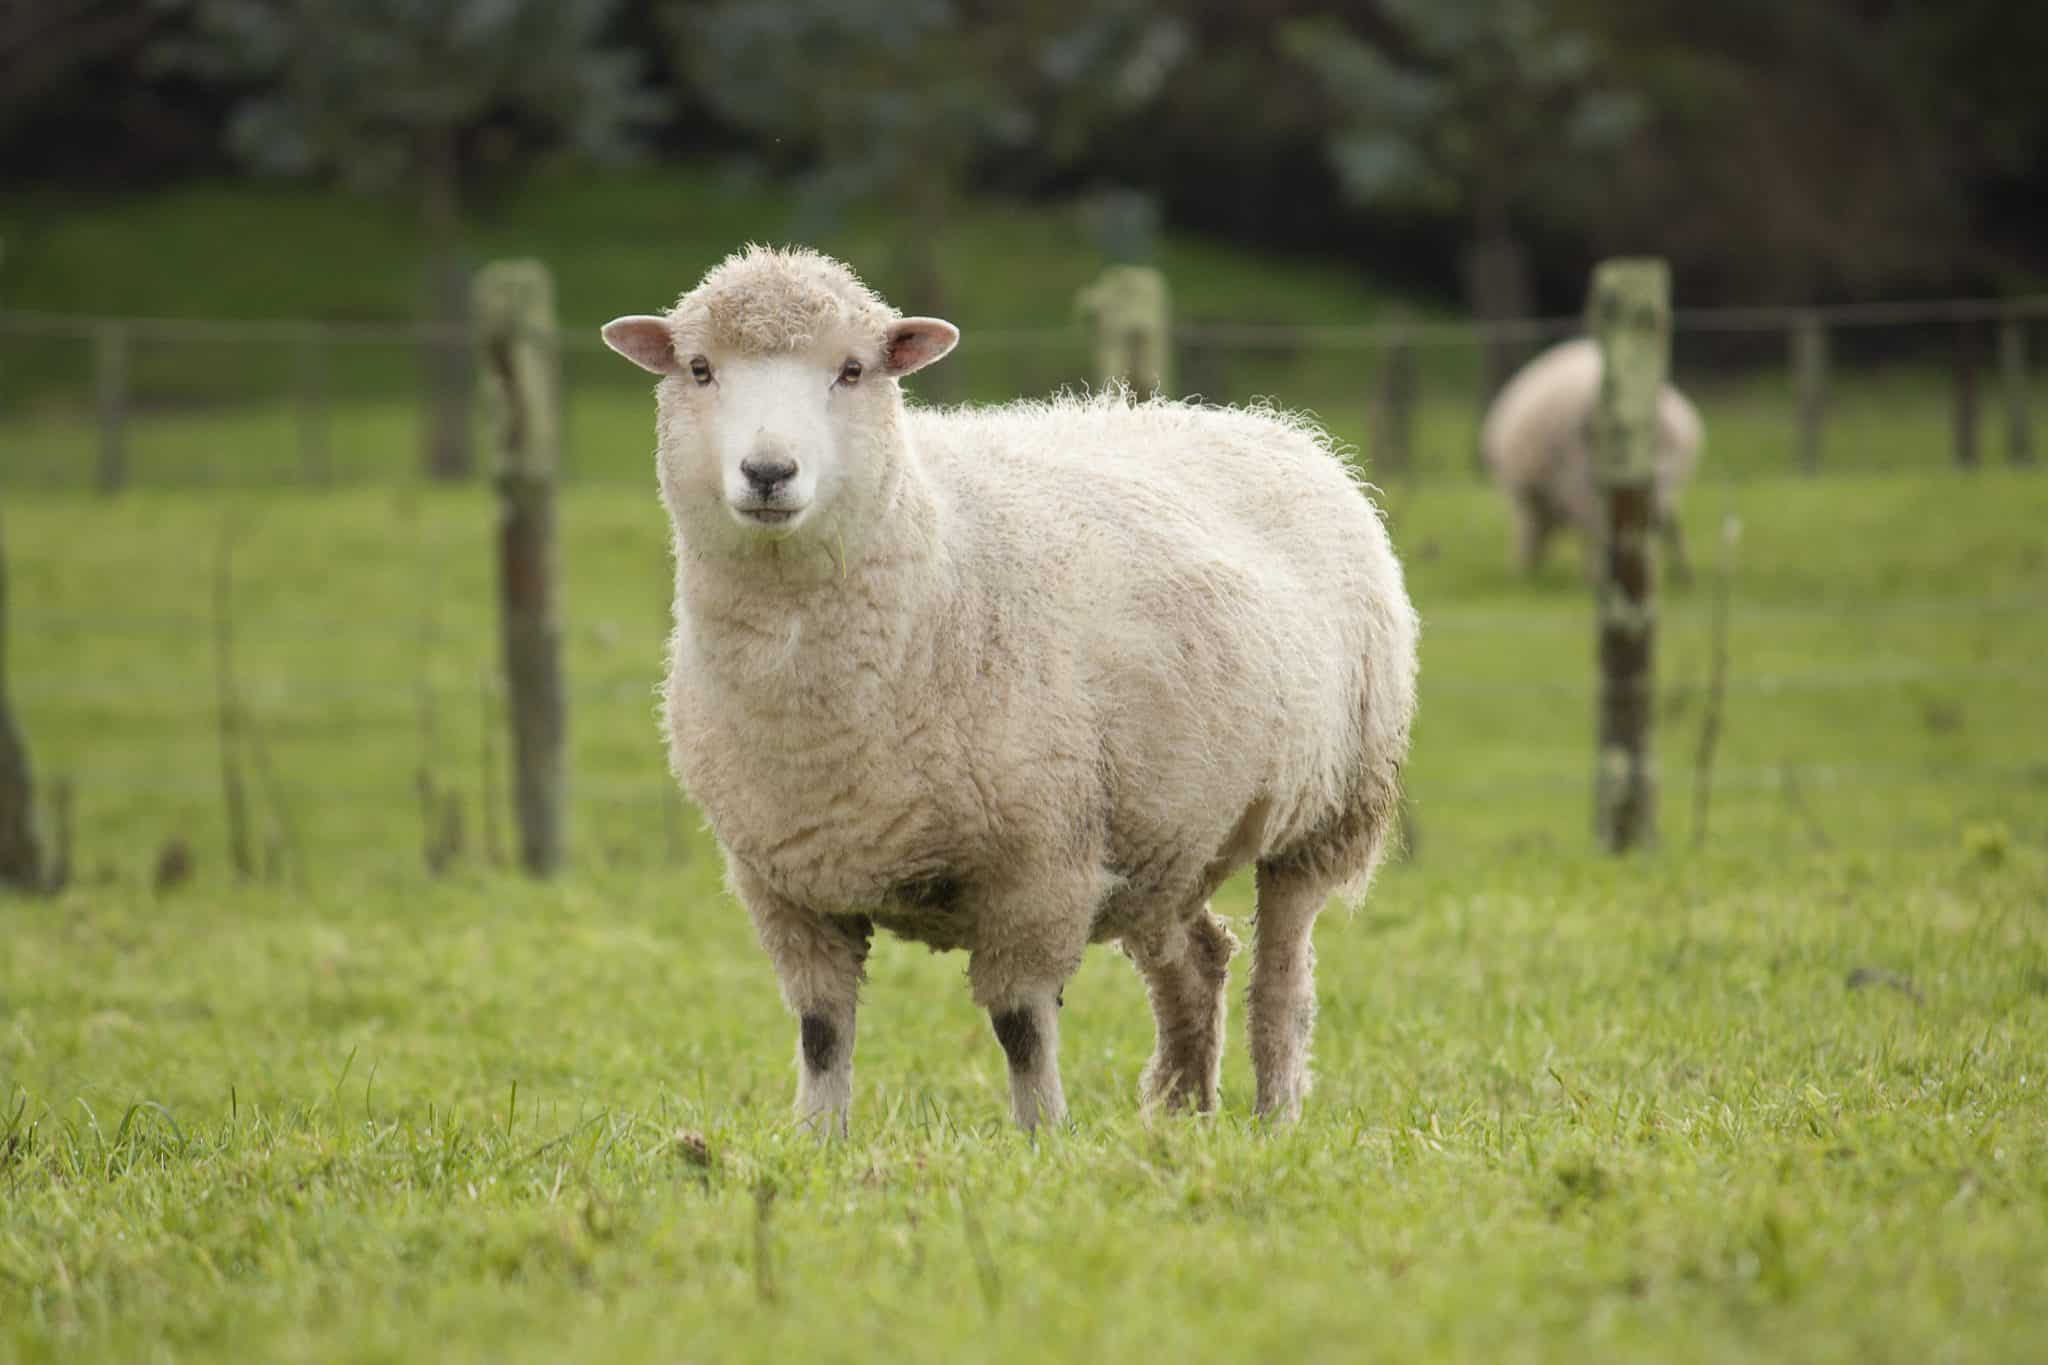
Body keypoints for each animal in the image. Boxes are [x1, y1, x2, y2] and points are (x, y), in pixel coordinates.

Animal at [601, 245, 1419, 1133]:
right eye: (700, 368)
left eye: (852, 370)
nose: (768, 471)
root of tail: (1274, 427)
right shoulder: (786, 884)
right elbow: (822, 1030)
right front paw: (818, 1139)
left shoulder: (1040, 867)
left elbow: (1021, 1025)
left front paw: (1042, 1137)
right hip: (1161, 831)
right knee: (1198, 960)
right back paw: (1179, 1115)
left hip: (1327, 809)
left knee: (1283, 981)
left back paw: (1274, 1116)